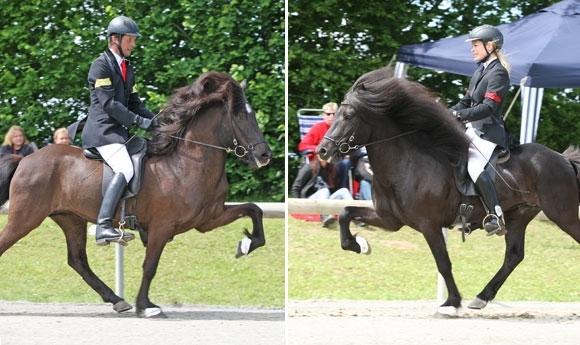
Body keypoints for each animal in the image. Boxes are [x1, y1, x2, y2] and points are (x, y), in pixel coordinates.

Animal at [0, 71, 272, 318]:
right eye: (240, 116)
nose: (264, 155)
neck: (186, 163)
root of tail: (24, 159)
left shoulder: (209, 219)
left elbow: (254, 210)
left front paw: (245, 245)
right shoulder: (162, 225)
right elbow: (150, 265)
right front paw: (146, 306)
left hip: (70, 219)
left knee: (78, 261)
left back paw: (117, 300)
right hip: (26, 217)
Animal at [314, 66, 580, 314]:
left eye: (349, 116)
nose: (322, 151)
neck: (407, 164)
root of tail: (563, 159)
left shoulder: (429, 225)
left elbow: (443, 262)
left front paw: (451, 302)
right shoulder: (389, 219)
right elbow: (346, 213)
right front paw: (359, 244)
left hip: (562, 214)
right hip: (518, 216)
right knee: (514, 256)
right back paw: (481, 297)